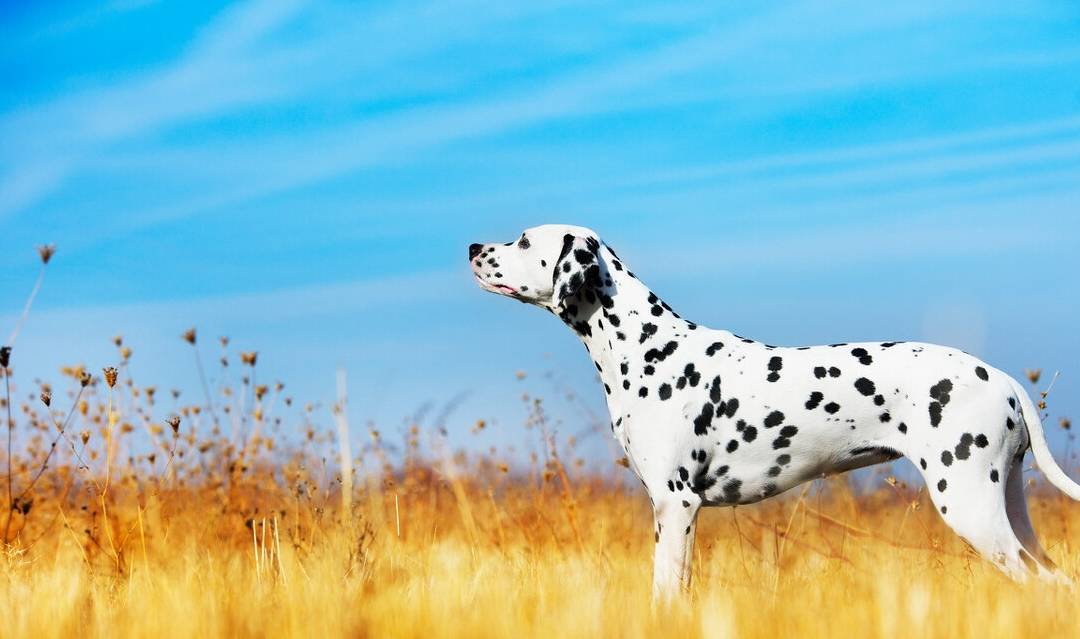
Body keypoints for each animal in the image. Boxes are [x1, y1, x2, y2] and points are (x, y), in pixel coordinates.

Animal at [468, 222, 1075, 595]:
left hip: (970, 507)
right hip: (1007, 508)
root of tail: (1002, 378)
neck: (645, 346)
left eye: (523, 240)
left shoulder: (676, 506)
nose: (472, 249)